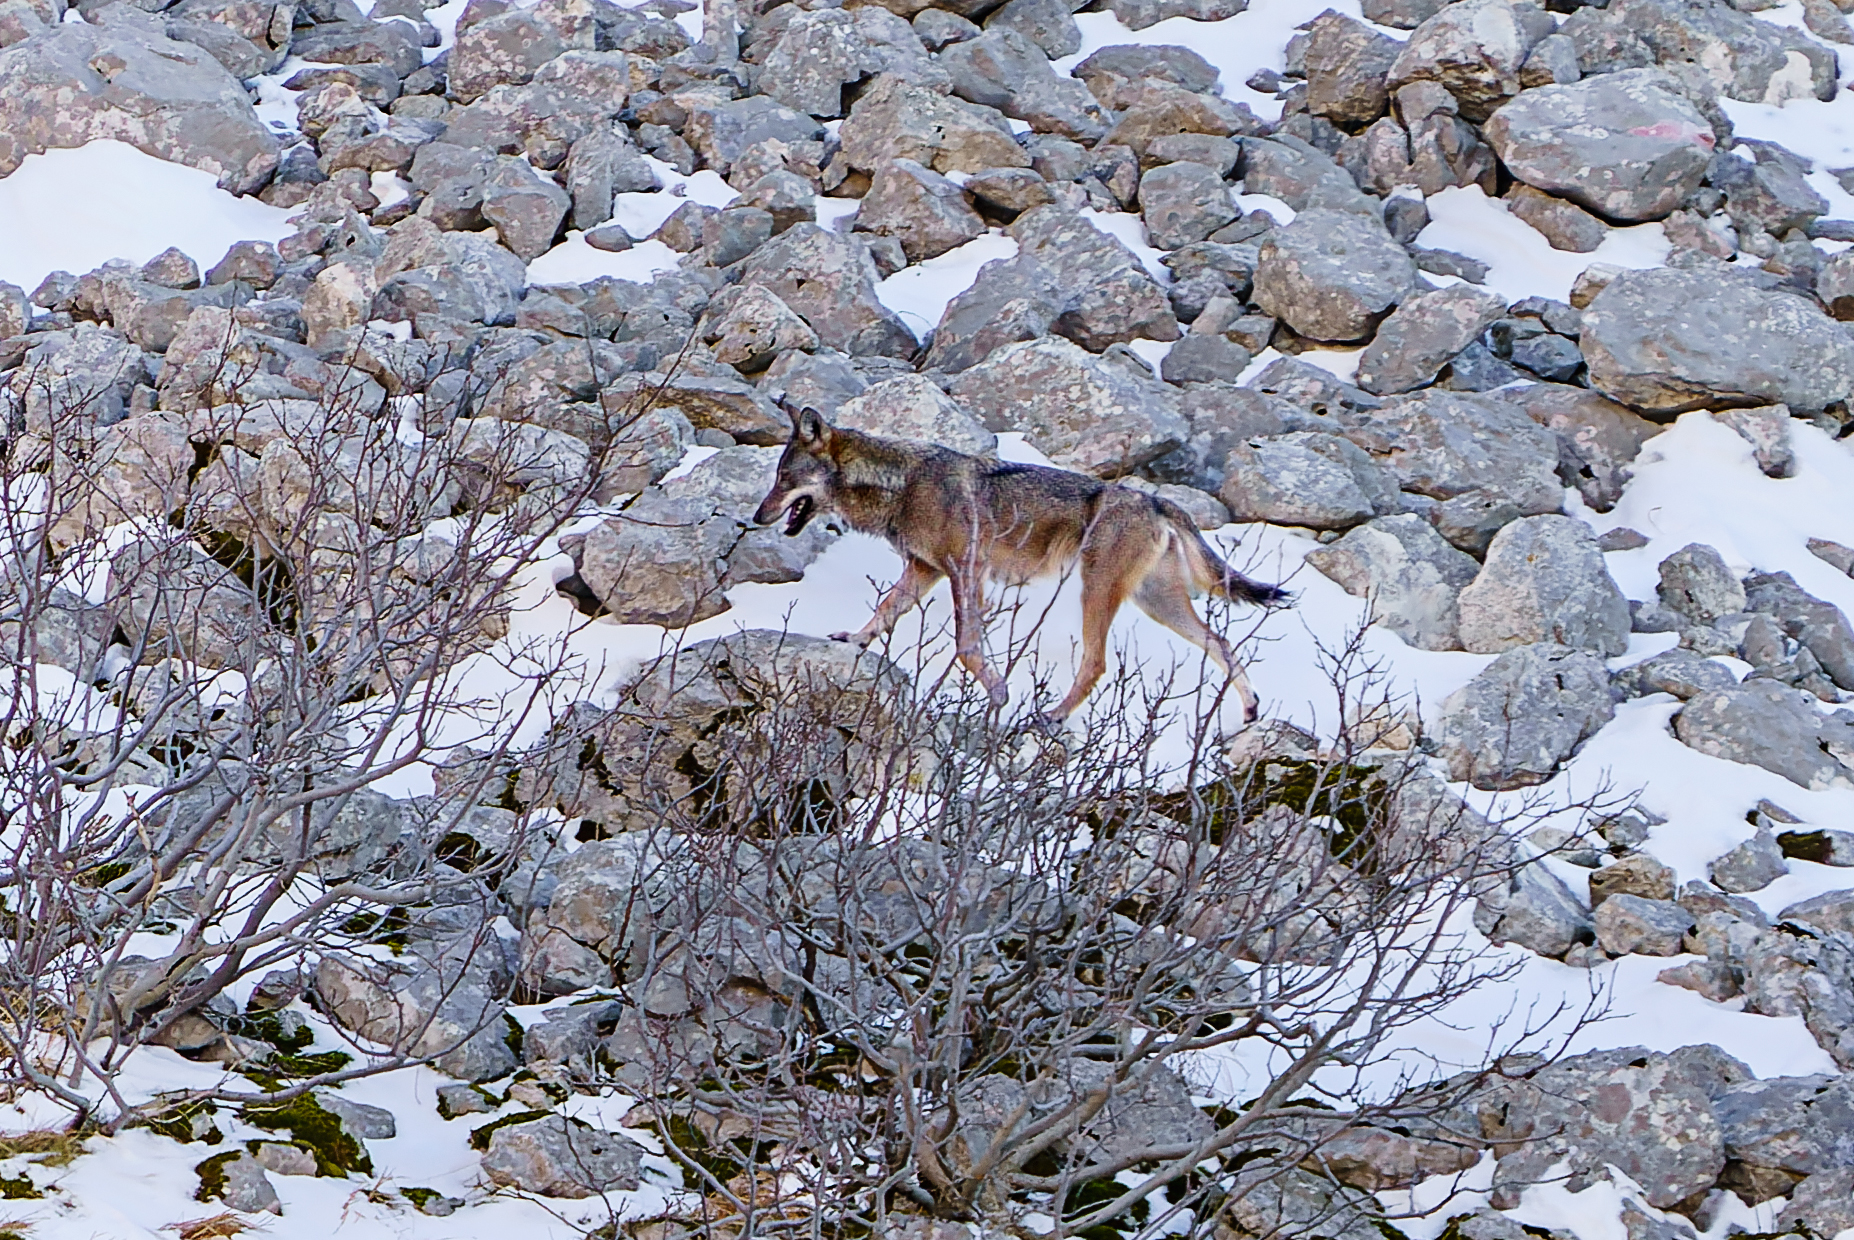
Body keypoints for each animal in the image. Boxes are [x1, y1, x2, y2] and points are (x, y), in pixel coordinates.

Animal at [752, 409, 1289, 722]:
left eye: (783, 479)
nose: (756, 517)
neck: (901, 485)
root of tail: (1156, 500)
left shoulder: (964, 571)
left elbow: (967, 646)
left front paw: (998, 692)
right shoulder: (925, 571)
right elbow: (884, 610)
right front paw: (853, 640)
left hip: (1097, 593)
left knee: (1096, 663)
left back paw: (1053, 715)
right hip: (1156, 603)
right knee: (1220, 642)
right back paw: (1250, 708)